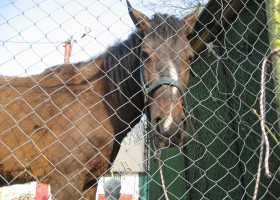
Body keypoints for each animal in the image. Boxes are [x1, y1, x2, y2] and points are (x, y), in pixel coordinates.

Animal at [0, 1, 197, 198]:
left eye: (190, 57)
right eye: (144, 54)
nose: (169, 126)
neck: (94, 102)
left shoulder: (90, 181)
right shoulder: (65, 181)